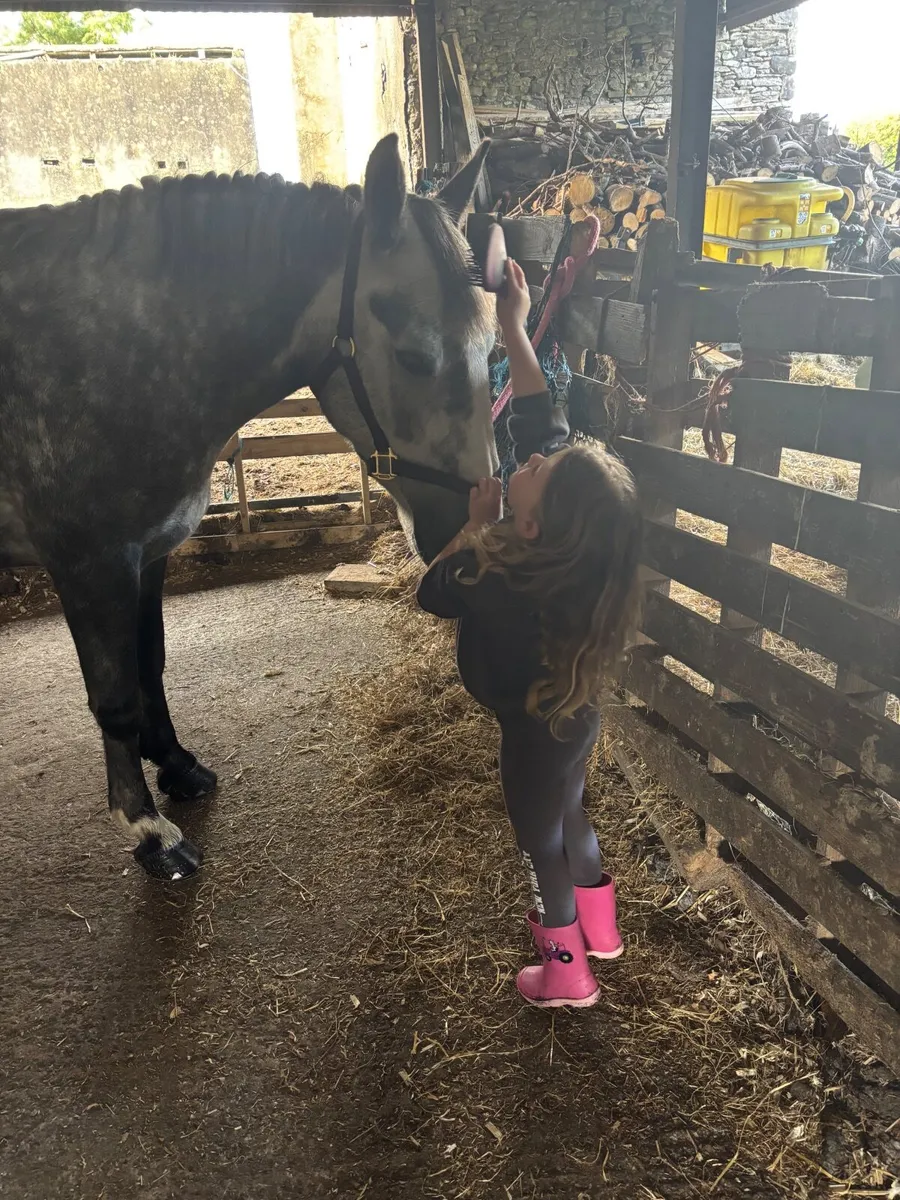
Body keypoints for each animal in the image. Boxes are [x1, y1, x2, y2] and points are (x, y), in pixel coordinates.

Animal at [0, 134, 498, 882]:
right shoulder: (90, 562)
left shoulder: (148, 552)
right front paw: (147, 828)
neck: (114, 352)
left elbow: (150, 665)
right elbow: (115, 696)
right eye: (414, 356)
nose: (467, 543)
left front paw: (177, 765)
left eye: (492, 348)